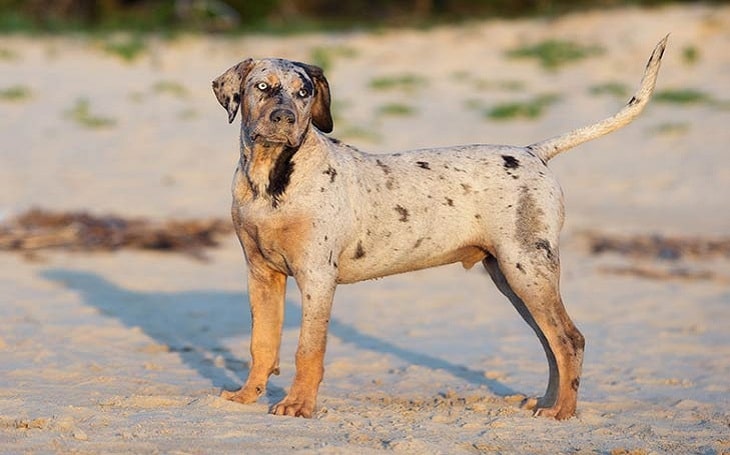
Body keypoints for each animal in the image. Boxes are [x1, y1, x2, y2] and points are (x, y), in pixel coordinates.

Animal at [209, 35, 664, 420]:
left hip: (528, 270)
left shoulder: (317, 277)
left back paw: (563, 412)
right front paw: (246, 396)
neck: (271, 179)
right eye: (263, 87)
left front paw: (299, 406)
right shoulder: (261, 275)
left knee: (569, 339)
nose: (284, 118)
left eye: (304, 93)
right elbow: (262, 343)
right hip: (513, 278)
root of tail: (533, 152)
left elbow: (309, 350)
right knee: (550, 342)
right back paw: (548, 402)